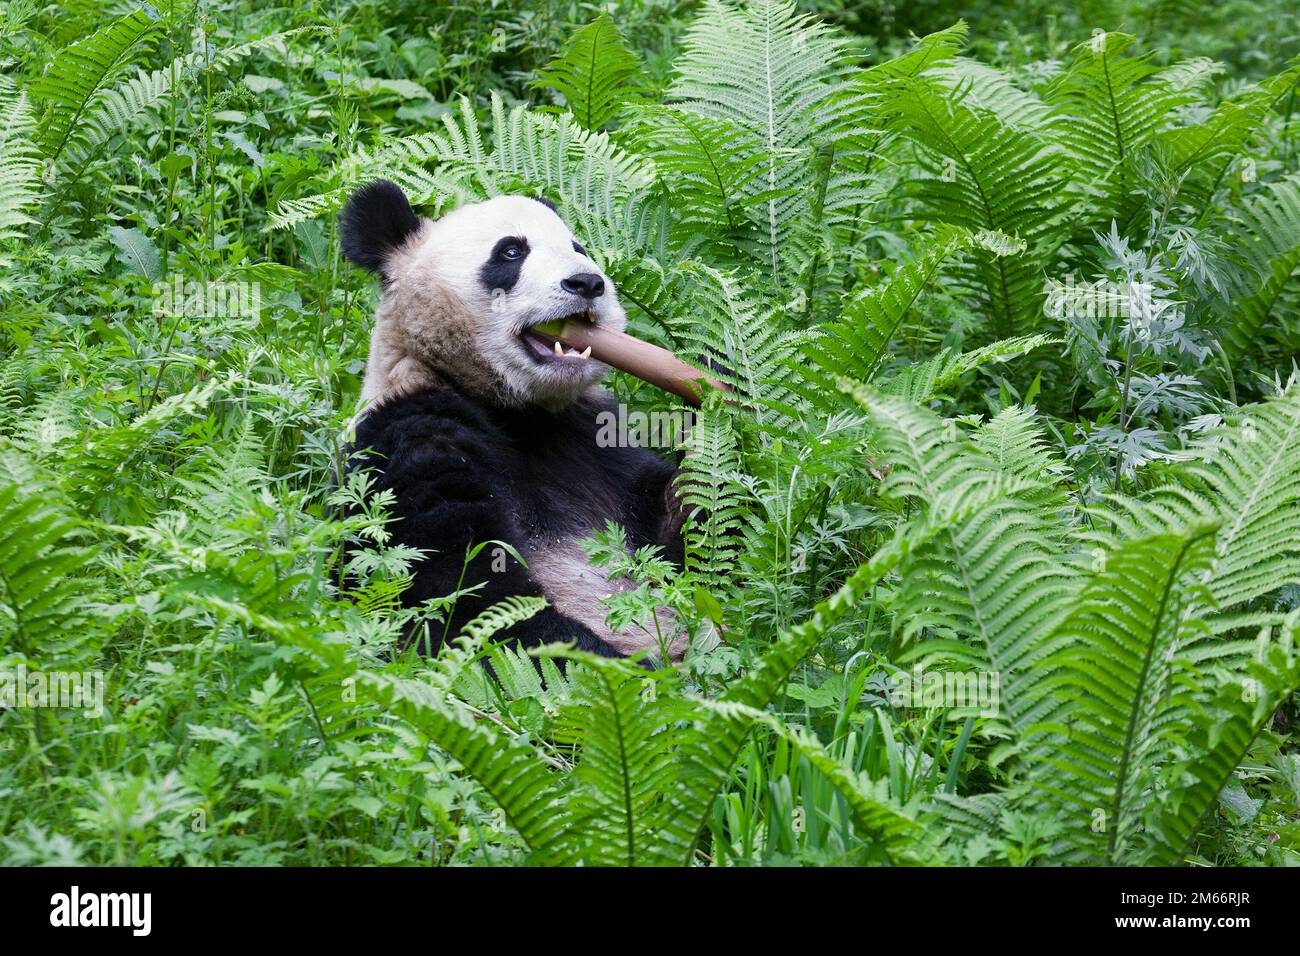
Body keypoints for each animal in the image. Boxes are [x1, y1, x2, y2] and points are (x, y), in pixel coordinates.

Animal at [340, 180, 686, 660]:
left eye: (577, 247)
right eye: (511, 252)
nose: (588, 282)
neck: (516, 407)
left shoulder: (594, 438)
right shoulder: (409, 436)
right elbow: (466, 593)